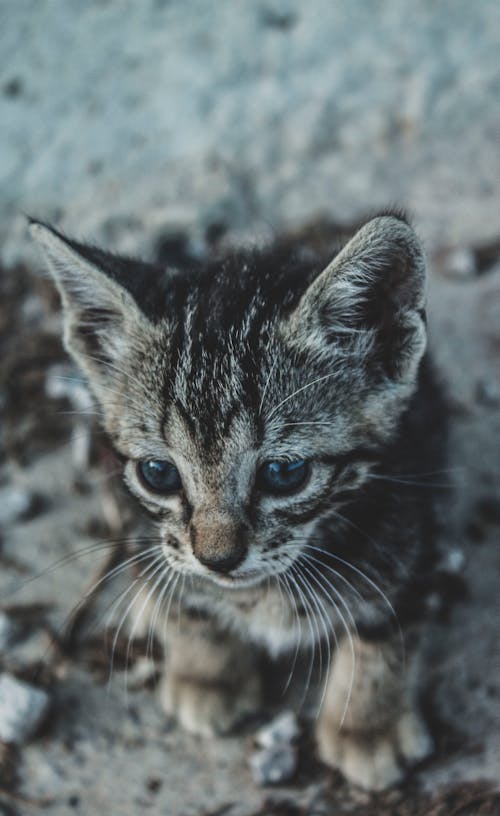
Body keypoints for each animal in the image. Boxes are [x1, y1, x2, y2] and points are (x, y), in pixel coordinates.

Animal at [31, 212, 446, 792]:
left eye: (285, 473)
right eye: (158, 473)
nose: (218, 559)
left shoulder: (410, 526)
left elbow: (384, 631)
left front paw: (367, 727)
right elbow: (187, 601)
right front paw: (206, 674)